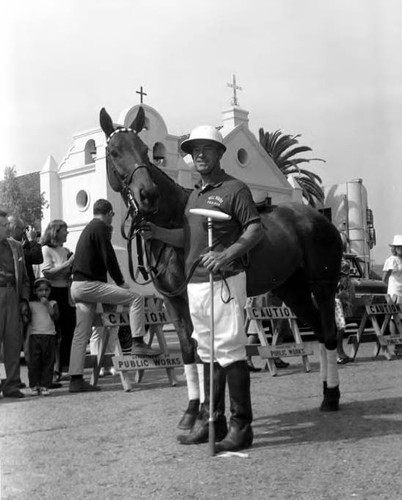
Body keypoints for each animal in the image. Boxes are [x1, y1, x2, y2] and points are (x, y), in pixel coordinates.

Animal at [99, 105, 342, 414]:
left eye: (143, 150)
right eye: (114, 151)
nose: (147, 195)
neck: (174, 220)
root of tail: (319, 218)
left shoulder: (194, 299)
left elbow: (205, 351)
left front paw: (208, 409)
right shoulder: (173, 301)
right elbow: (188, 352)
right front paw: (194, 408)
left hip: (323, 286)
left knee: (331, 334)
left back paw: (332, 396)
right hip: (292, 290)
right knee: (321, 332)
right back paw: (326, 393)